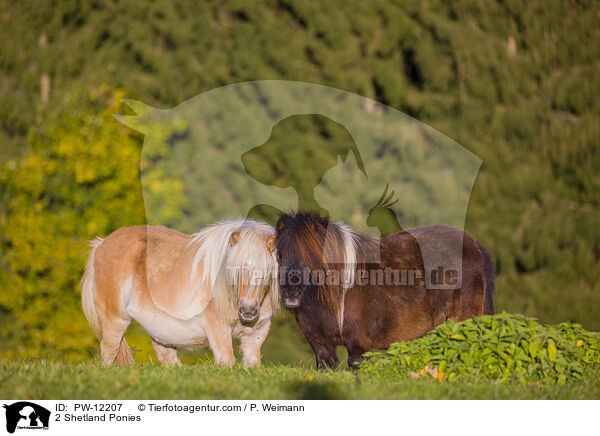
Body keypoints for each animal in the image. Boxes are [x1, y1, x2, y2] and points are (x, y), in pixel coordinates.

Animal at [81, 220, 280, 366]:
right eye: (235, 269)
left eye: (267, 271)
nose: (248, 311)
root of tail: (100, 245)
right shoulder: (218, 330)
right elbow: (227, 361)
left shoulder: (256, 335)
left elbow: (252, 364)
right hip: (115, 321)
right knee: (108, 352)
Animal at [274, 213, 494, 370]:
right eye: (280, 254)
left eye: (310, 255)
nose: (290, 294)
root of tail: (475, 246)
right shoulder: (320, 346)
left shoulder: (358, 346)